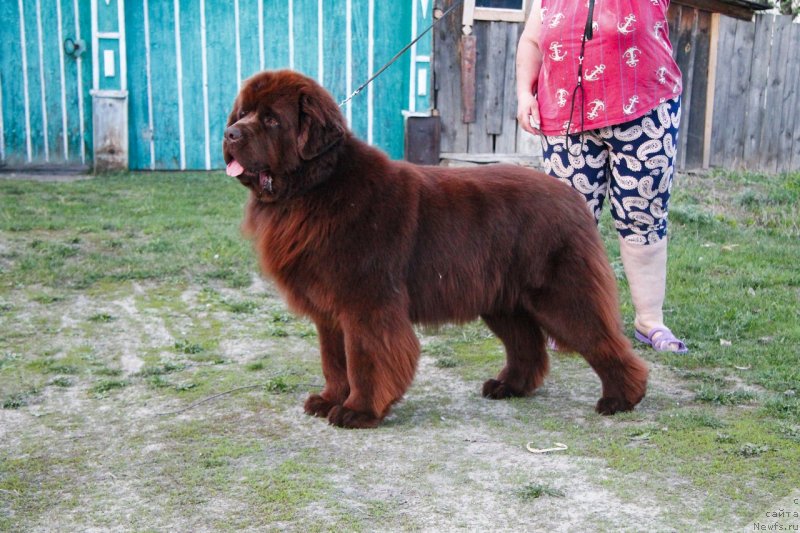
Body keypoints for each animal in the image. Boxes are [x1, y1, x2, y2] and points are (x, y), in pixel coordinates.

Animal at [222, 70, 648, 428]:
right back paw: (509, 386)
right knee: (527, 345)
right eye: (242, 114)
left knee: (602, 340)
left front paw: (358, 411)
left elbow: (364, 358)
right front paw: (329, 400)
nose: (230, 134)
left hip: (561, 295)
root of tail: (571, 195)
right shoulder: (329, 311)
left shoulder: (366, 304)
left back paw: (622, 398)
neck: (315, 190)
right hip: (503, 299)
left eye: (271, 120)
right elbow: (334, 361)